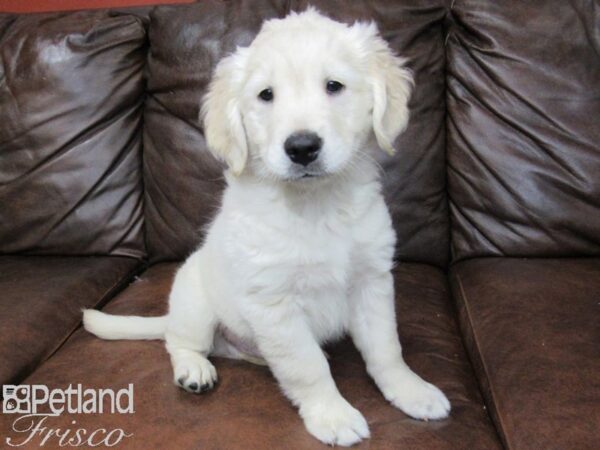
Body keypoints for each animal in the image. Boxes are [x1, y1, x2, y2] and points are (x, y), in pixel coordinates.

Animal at [84, 7, 450, 446]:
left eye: (334, 86)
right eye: (266, 95)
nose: (302, 147)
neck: (315, 205)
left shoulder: (371, 282)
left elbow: (386, 348)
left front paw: (411, 391)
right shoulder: (274, 301)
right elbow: (307, 366)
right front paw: (332, 415)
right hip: (194, 302)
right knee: (181, 342)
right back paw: (194, 370)